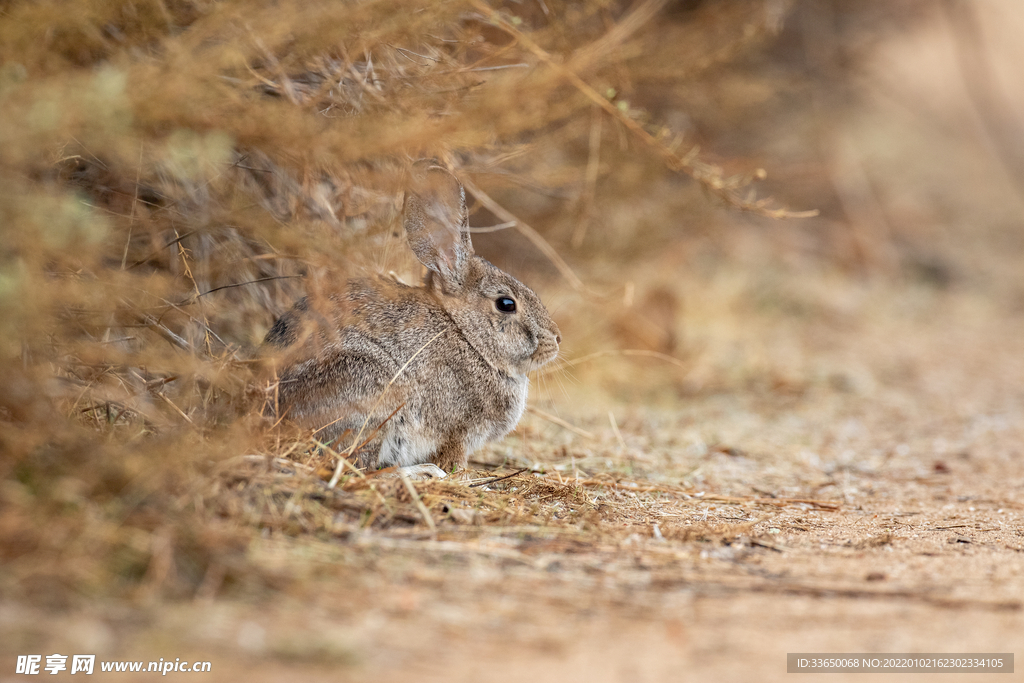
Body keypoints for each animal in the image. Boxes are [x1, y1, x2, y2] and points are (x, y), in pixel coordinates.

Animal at [262, 162, 561, 473]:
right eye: (506, 304)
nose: (556, 339)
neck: (467, 337)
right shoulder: (458, 431)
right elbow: (452, 458)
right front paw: (457, 474)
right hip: (371, 395)